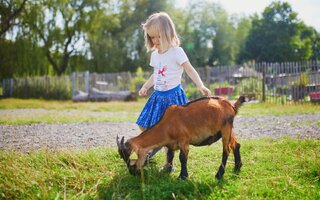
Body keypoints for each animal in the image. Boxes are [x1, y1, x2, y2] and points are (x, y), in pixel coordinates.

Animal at [117, 95, 245, 180]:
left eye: (130, 155)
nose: (133, 172)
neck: (167, 124)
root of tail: (231, 105)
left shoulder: (184, 140)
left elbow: (182, 158)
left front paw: (182, 176)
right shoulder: (171, 144)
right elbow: (170, 155)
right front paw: (167, 171)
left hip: (225, 129)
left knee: (226, 150)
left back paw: (219, 174)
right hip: (230, 129)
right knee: (236, 145)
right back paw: (237, 168)